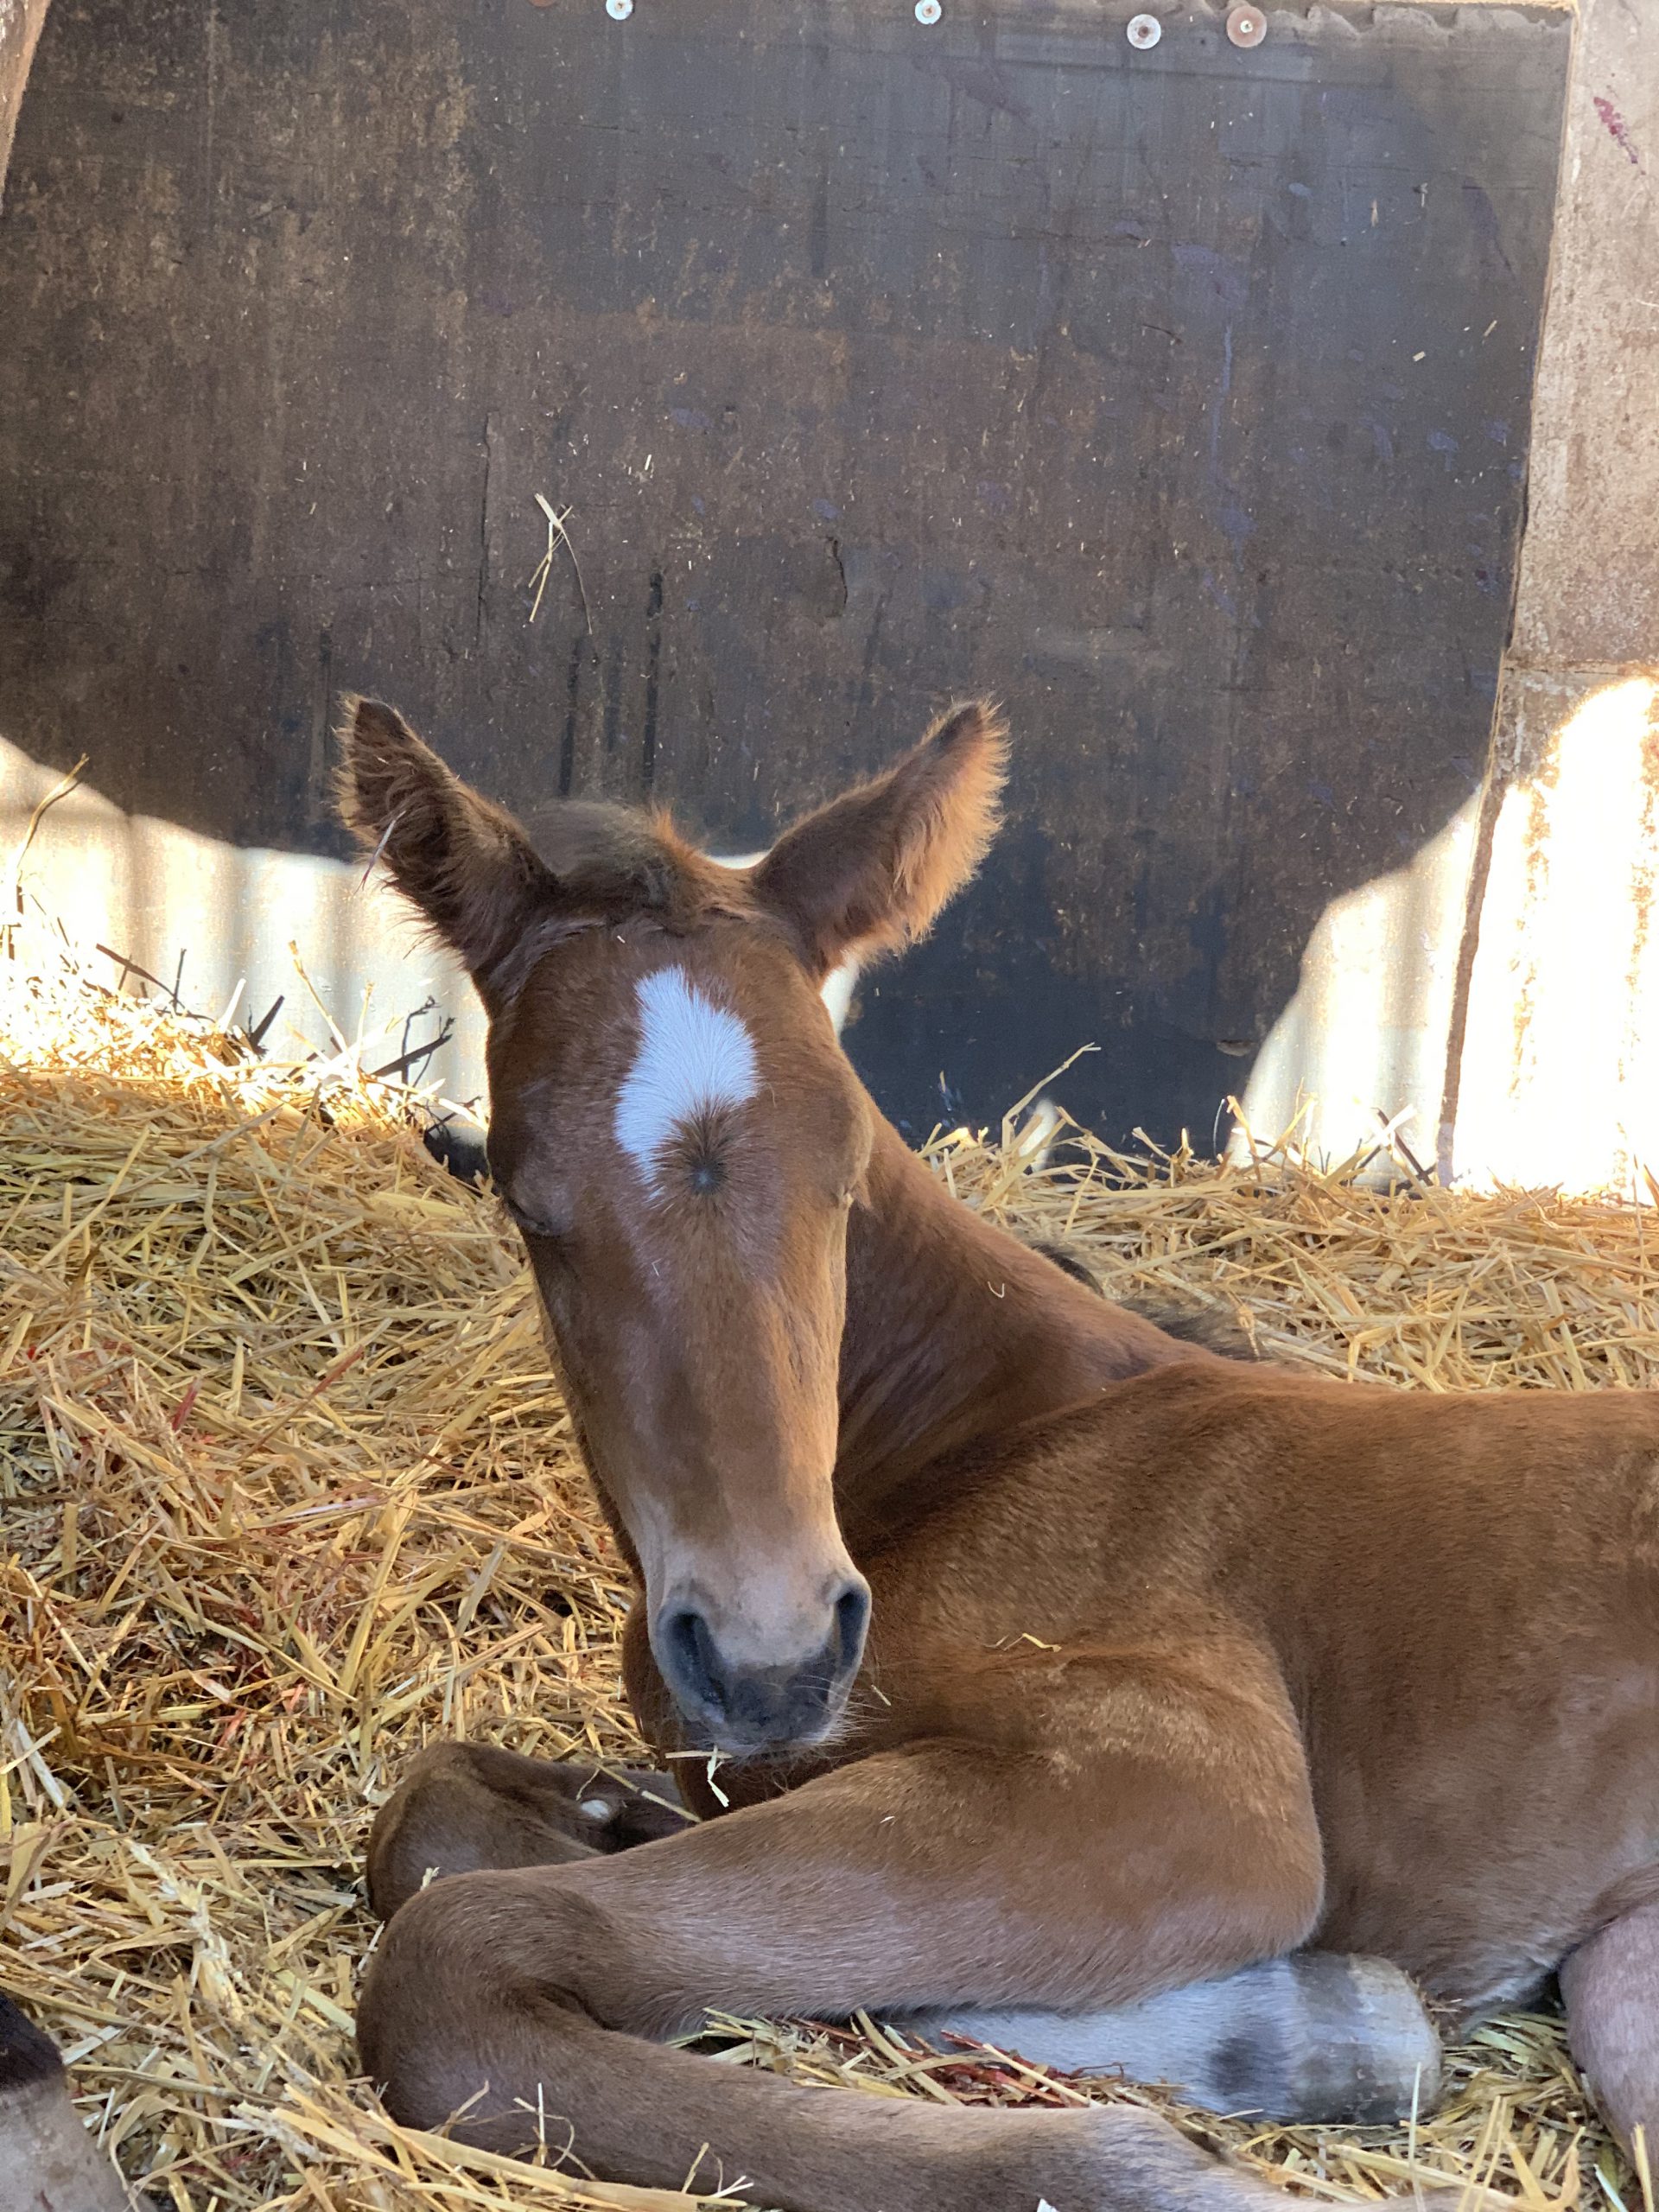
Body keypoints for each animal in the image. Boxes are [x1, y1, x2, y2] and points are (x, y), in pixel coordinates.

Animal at [340, 698, 1659, 2212]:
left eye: (849, 1171)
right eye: (530, 1204)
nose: (771, 1657)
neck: (989, 1437)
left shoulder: (1186, 1783)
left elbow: (463, 1951)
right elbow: (442, 1811)